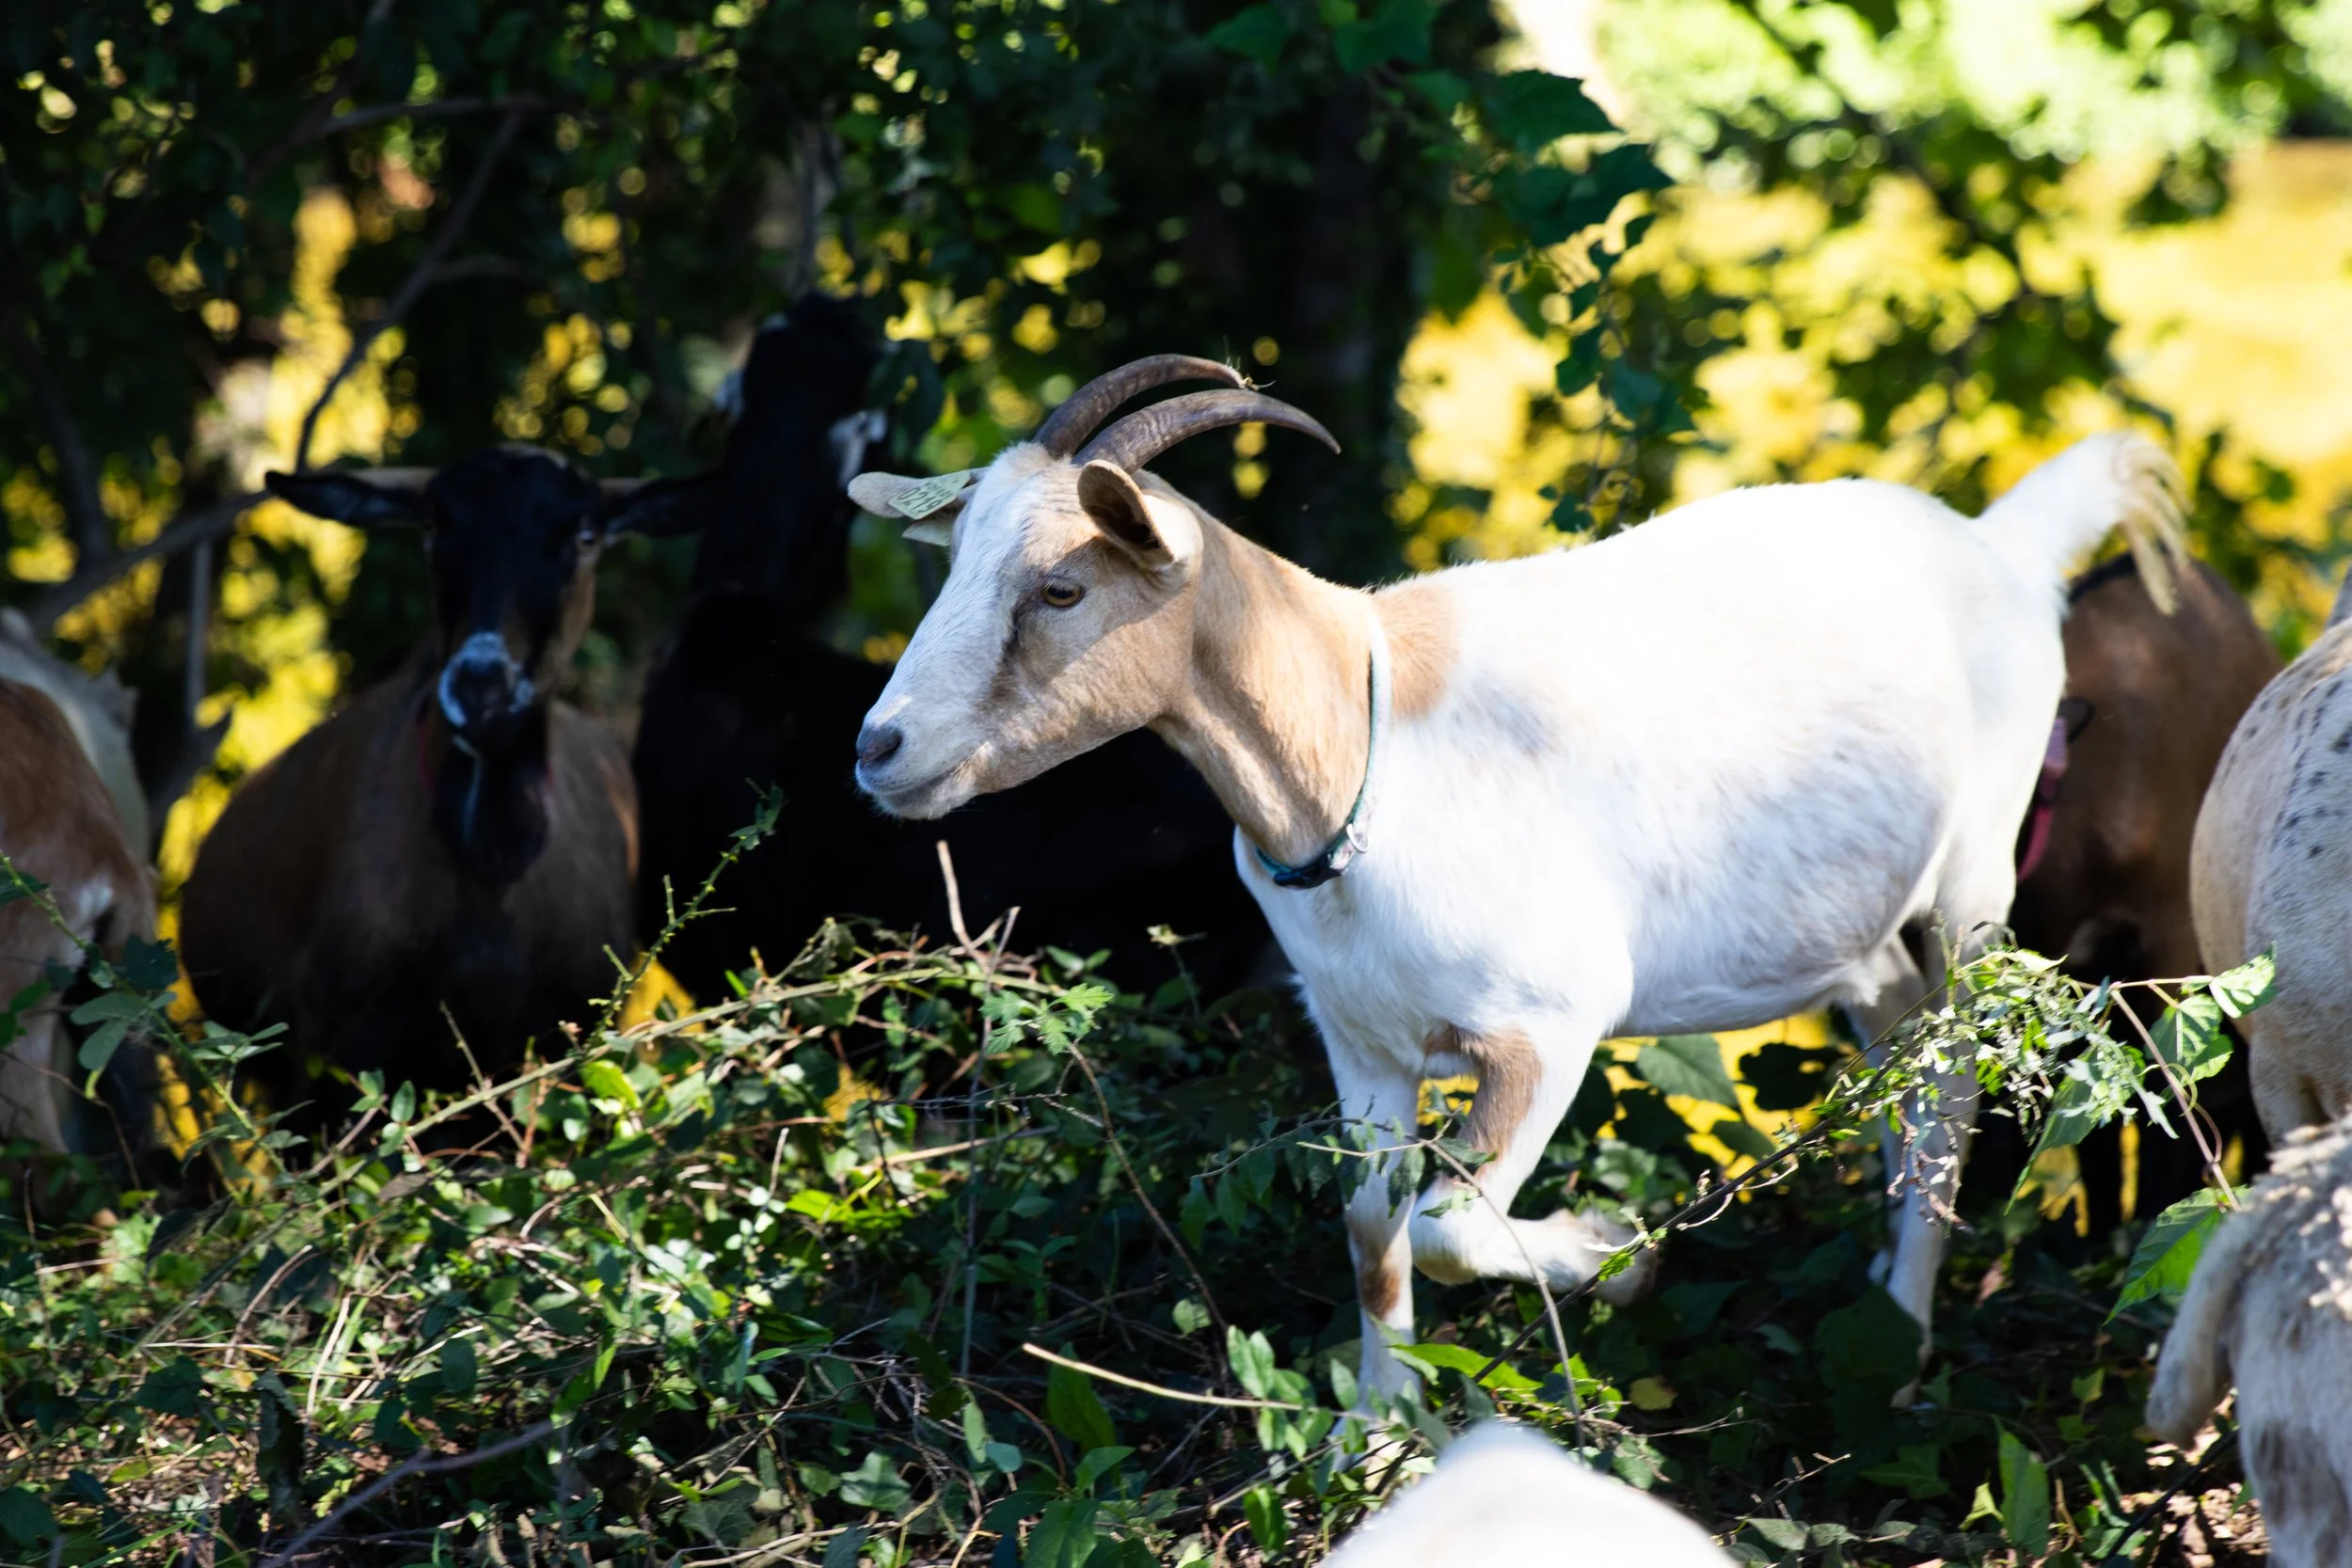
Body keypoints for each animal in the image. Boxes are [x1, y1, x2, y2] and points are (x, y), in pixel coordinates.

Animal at [178, 450, 707, 1126]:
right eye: (432, 526)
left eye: (586, 536)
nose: (481, 689)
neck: (488, 875)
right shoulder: (338, 1050)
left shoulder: (554, 1047)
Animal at [847, 355, 2185, 1401]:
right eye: (955, 571)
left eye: (1060, 587)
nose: (880, 747)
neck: (1361, 745)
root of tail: (1999, 546)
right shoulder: (1361, 1039)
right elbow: (1370, 1226)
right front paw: (1379, 1430)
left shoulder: (1548, 1027)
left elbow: (1446, 1227)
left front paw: (1618, 1253)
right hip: (1855, 936)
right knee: (1901, 1041)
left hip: (1974, 880)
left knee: (1952, 1073)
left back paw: (1902, 1340)